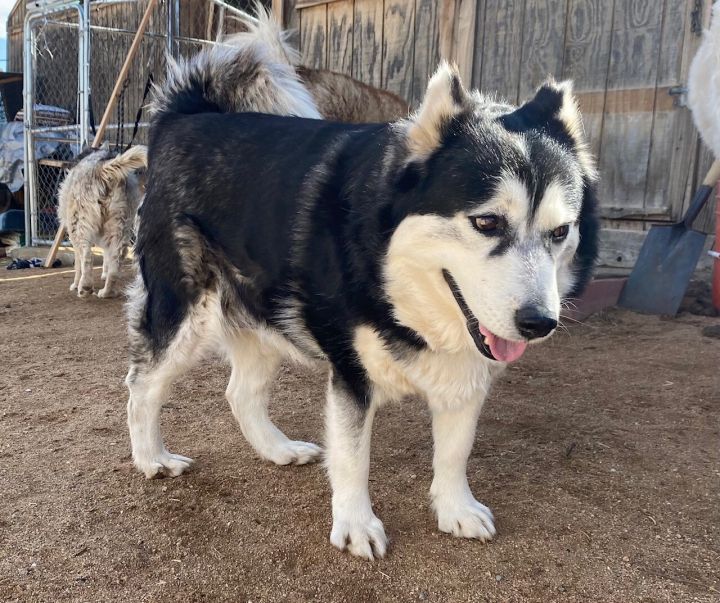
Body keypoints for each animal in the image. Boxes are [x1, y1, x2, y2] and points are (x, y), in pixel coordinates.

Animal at [126, 28, 600, 560]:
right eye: (487, 222)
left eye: (560, 232)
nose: (539, 323)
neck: (393, 278)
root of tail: (187, 116)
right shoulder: (351, 375)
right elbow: (353, 458)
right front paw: (355, 524)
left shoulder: (467, 373)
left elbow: (455, 449)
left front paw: (455, 508)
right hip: (184, 313)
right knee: (142, 384)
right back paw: (151, 457)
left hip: (266, 317)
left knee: (240, 392)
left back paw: (277, 449)